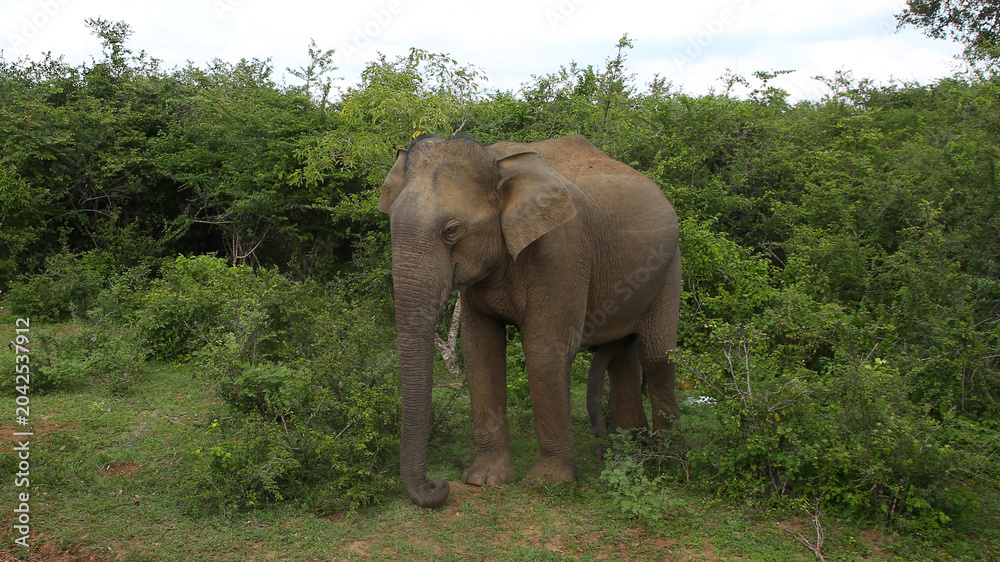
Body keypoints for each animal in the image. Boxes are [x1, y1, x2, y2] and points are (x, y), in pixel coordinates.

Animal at [379, 134, 681, 509]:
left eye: (452, 230)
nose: (439, 484)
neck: (496, 162)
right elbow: (480, 351)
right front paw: (484, 481)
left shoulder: (562, 250)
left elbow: (543, 349)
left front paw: (546, 485)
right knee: (622, 358)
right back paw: (624, 453)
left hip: (669, 263)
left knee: (656, 355)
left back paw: (666, 459)